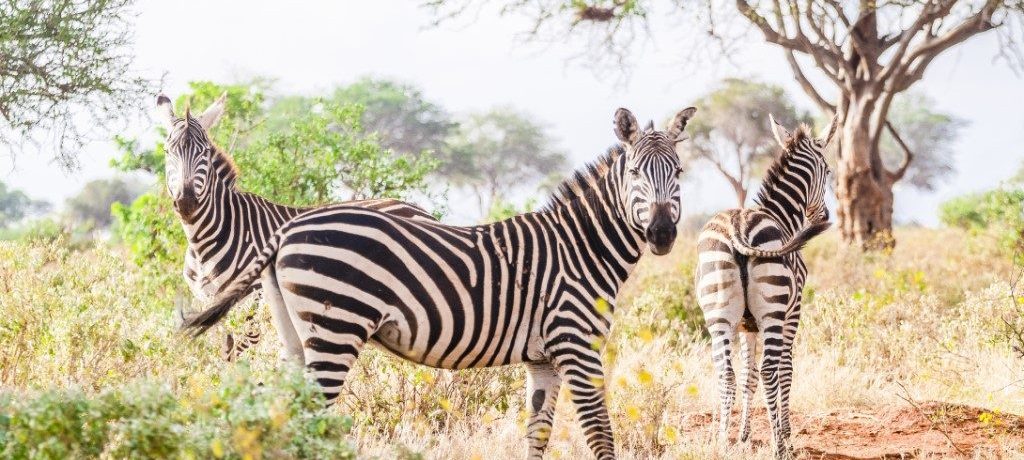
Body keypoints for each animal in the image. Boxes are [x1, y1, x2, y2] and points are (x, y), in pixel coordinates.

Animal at [157, 94, 436, 363]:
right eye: (168, 152)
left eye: (204, 153)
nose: (186, 202)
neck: (203, 242)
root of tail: (419, 209)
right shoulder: (209, 301)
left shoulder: (253, 301)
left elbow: (240, 354)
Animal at [181, 106, 697, 459]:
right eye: (635, 172)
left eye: (679, 173)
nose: (662, 234)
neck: (580, 246)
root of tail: (287, 228)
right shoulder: (577, 345)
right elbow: (600, 433)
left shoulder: (543, 359)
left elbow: (537, 434)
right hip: (335, 327)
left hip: (295, 334)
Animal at [695, 114, 836, 458]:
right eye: (828, 171)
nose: (823, 215)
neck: (780, 215)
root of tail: (738, 226)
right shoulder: (792, 312)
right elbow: (786, 370)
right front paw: (785, 434)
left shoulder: (747, 325)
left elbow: (748, 376)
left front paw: (743, 436)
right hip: (773, 313)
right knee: (771, 371)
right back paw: (779, 448)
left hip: (718, 315)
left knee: (726, 373)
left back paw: (723, 442)